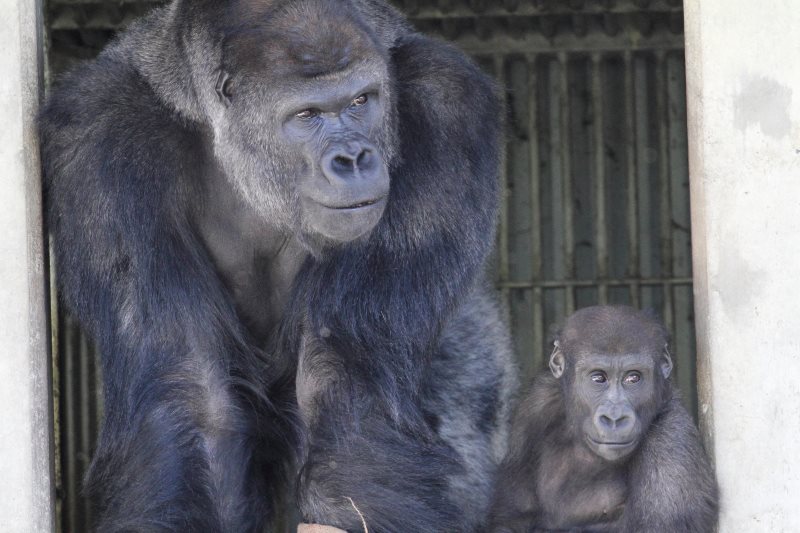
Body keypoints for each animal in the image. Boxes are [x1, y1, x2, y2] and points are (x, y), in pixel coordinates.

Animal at [43, 1, 516, 532]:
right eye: (306, 115)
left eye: (361, 101)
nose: (354, 158)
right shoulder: (98, 135)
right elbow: (193, 394)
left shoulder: (446, 104)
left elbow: (343, 372)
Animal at [490, 306, 716, 528]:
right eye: (598, 378)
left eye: (633, 378)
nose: (614, 417)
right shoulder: (537, 403)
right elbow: (513, 515)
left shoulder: (671, 439)